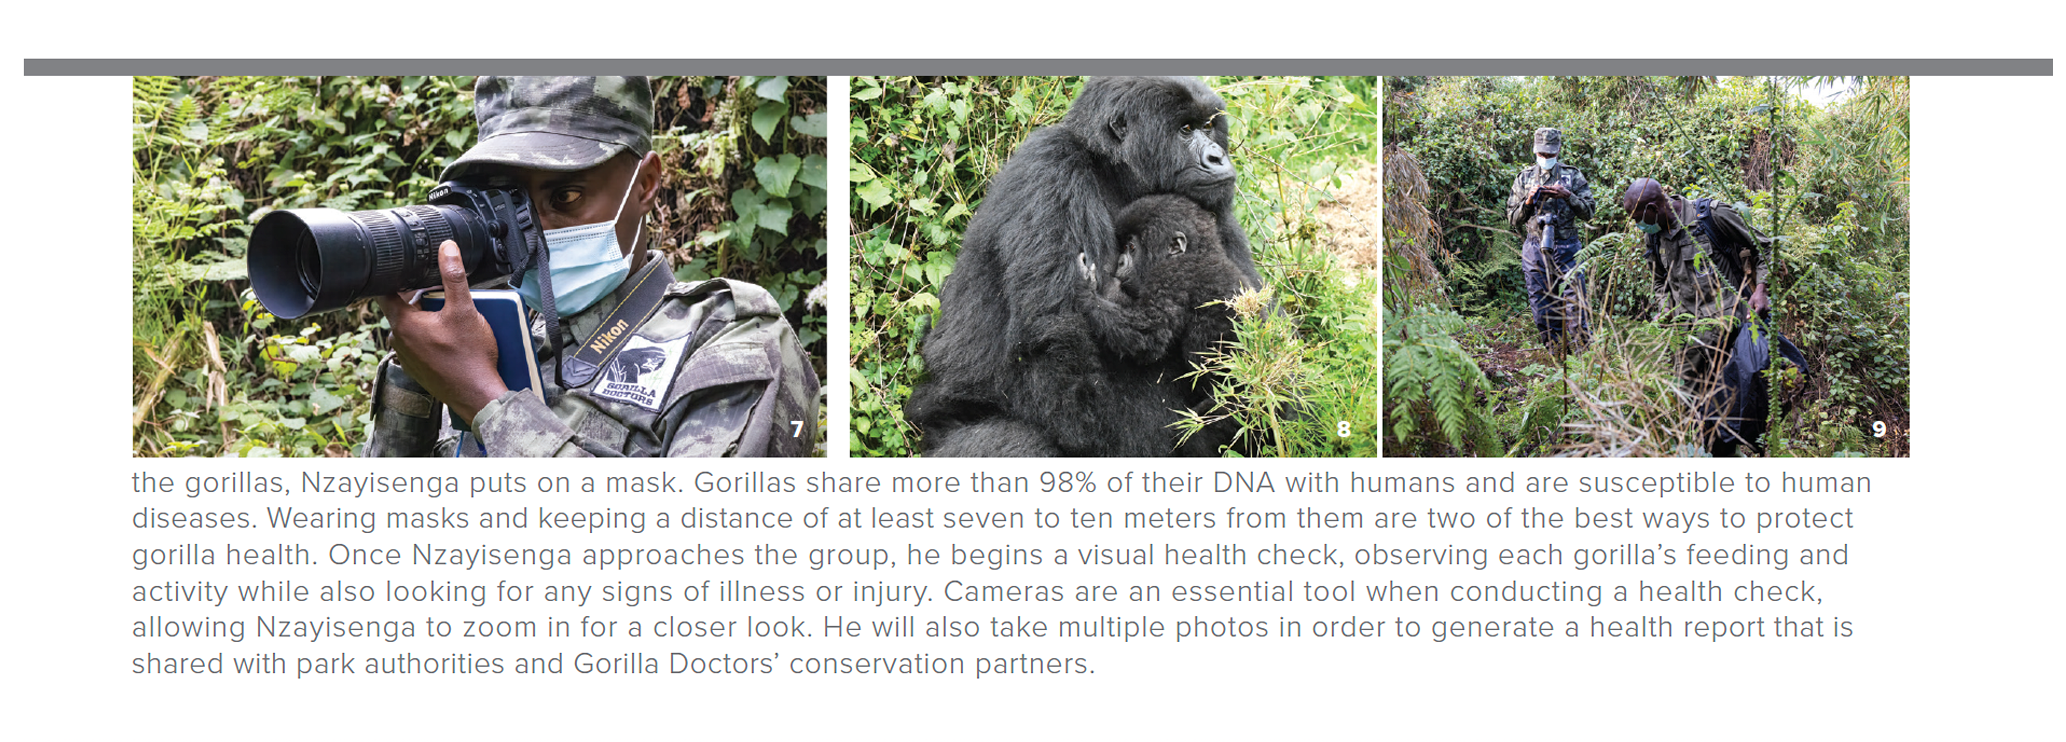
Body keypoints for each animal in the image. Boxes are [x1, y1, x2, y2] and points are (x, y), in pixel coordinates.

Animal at [1090, 192, 1247, 365]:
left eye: (1131, 247)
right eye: (1124, 247)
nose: (1120, 262)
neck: (1197, 252)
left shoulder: (1171, 276)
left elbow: (1148, 332)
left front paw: (1086, 292)